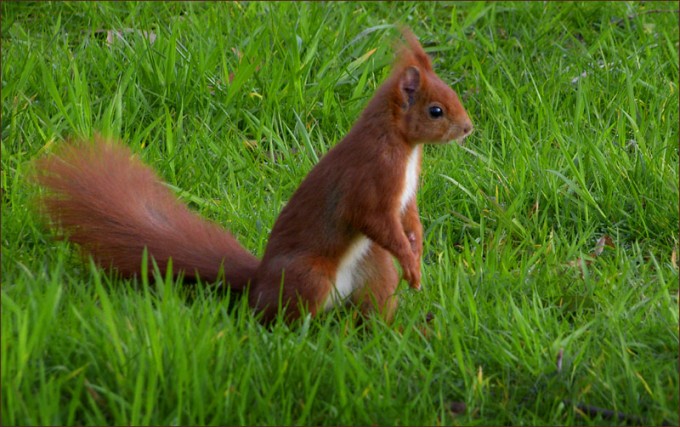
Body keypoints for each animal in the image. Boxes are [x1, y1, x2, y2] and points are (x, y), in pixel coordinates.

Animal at [33, 28, 473, 324]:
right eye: (436, 110)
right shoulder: (370, 178)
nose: (468, 128)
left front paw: (417, 254)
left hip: (374, 272)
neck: (404, 147)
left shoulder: (405, 195)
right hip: (310, 276)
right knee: (284, 317)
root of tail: (258, 281)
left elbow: (409, 219)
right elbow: (375, 220)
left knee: (372, 304)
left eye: (454, 97)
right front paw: (411, 262)